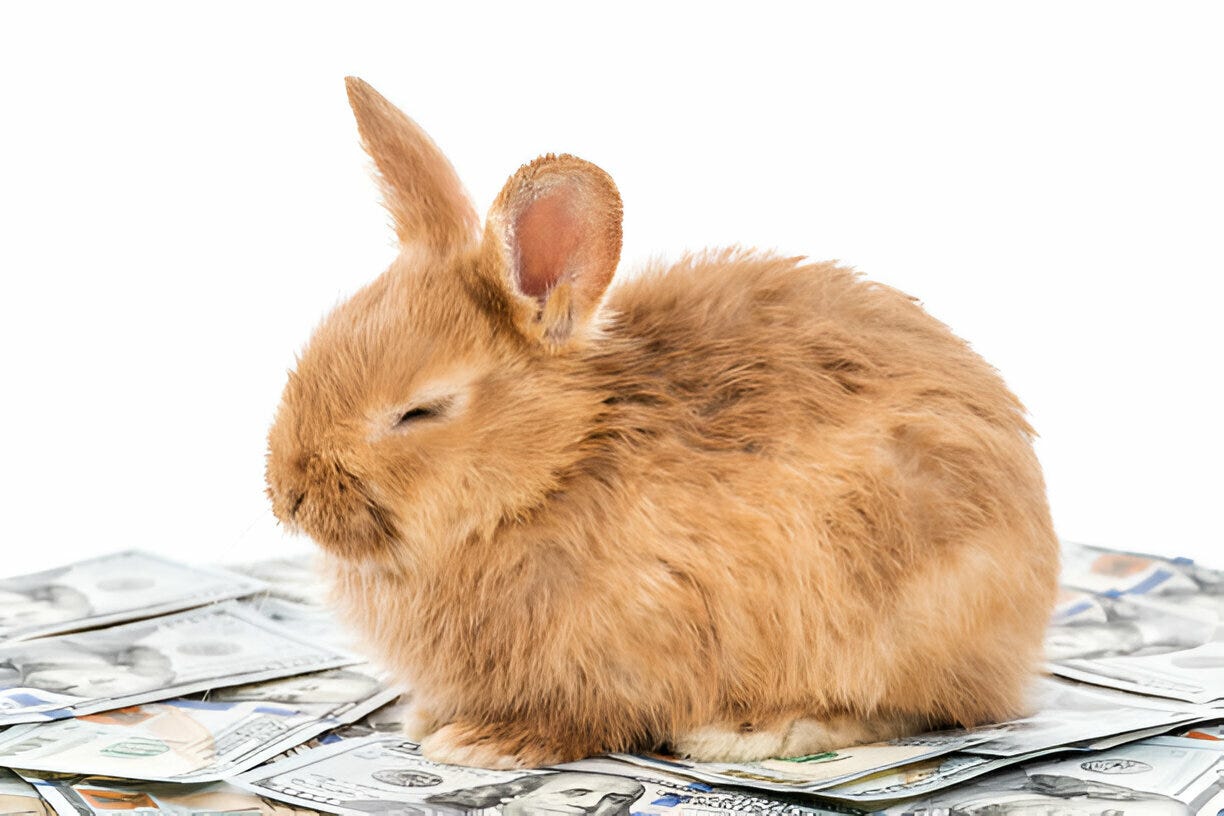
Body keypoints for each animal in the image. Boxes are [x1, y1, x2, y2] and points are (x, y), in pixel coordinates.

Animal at [264, 77, 1061, 769]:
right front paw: (430, 718)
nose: (288, 495)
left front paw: (485, 744)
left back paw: (754, 731)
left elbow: (586, 717)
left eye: (420, 411)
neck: (557, 467)